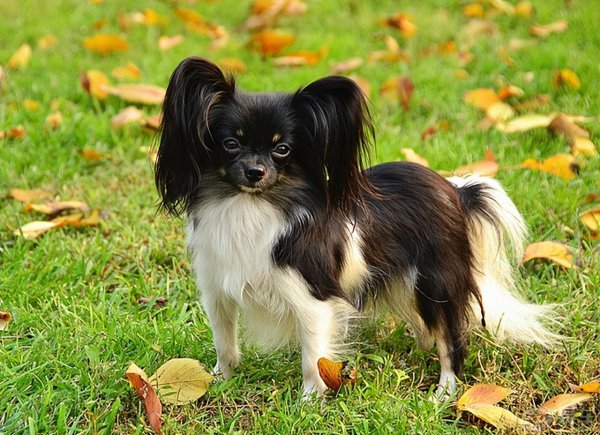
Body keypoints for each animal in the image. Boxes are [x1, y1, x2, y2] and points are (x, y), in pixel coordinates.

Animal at [155, 57, 556, 398]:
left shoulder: (312, 300)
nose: (255, 172)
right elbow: (225, 342)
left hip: (435, 283)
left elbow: (312, 358)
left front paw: (309, 403)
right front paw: (219, 380)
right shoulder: (217, 291)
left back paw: (444, 391)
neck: (250, 206)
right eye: (230, 144)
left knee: (450, 338)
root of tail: (456, 191)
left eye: (282, 149)